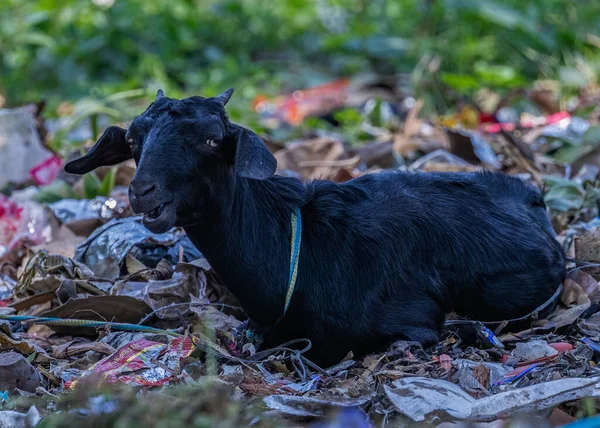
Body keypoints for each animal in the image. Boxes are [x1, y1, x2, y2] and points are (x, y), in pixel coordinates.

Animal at [65, 88, 568, 366]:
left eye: (211, 140)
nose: (143, 191)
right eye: (133, 140)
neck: (293, 244)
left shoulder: (411, 319)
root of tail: (531, 196)